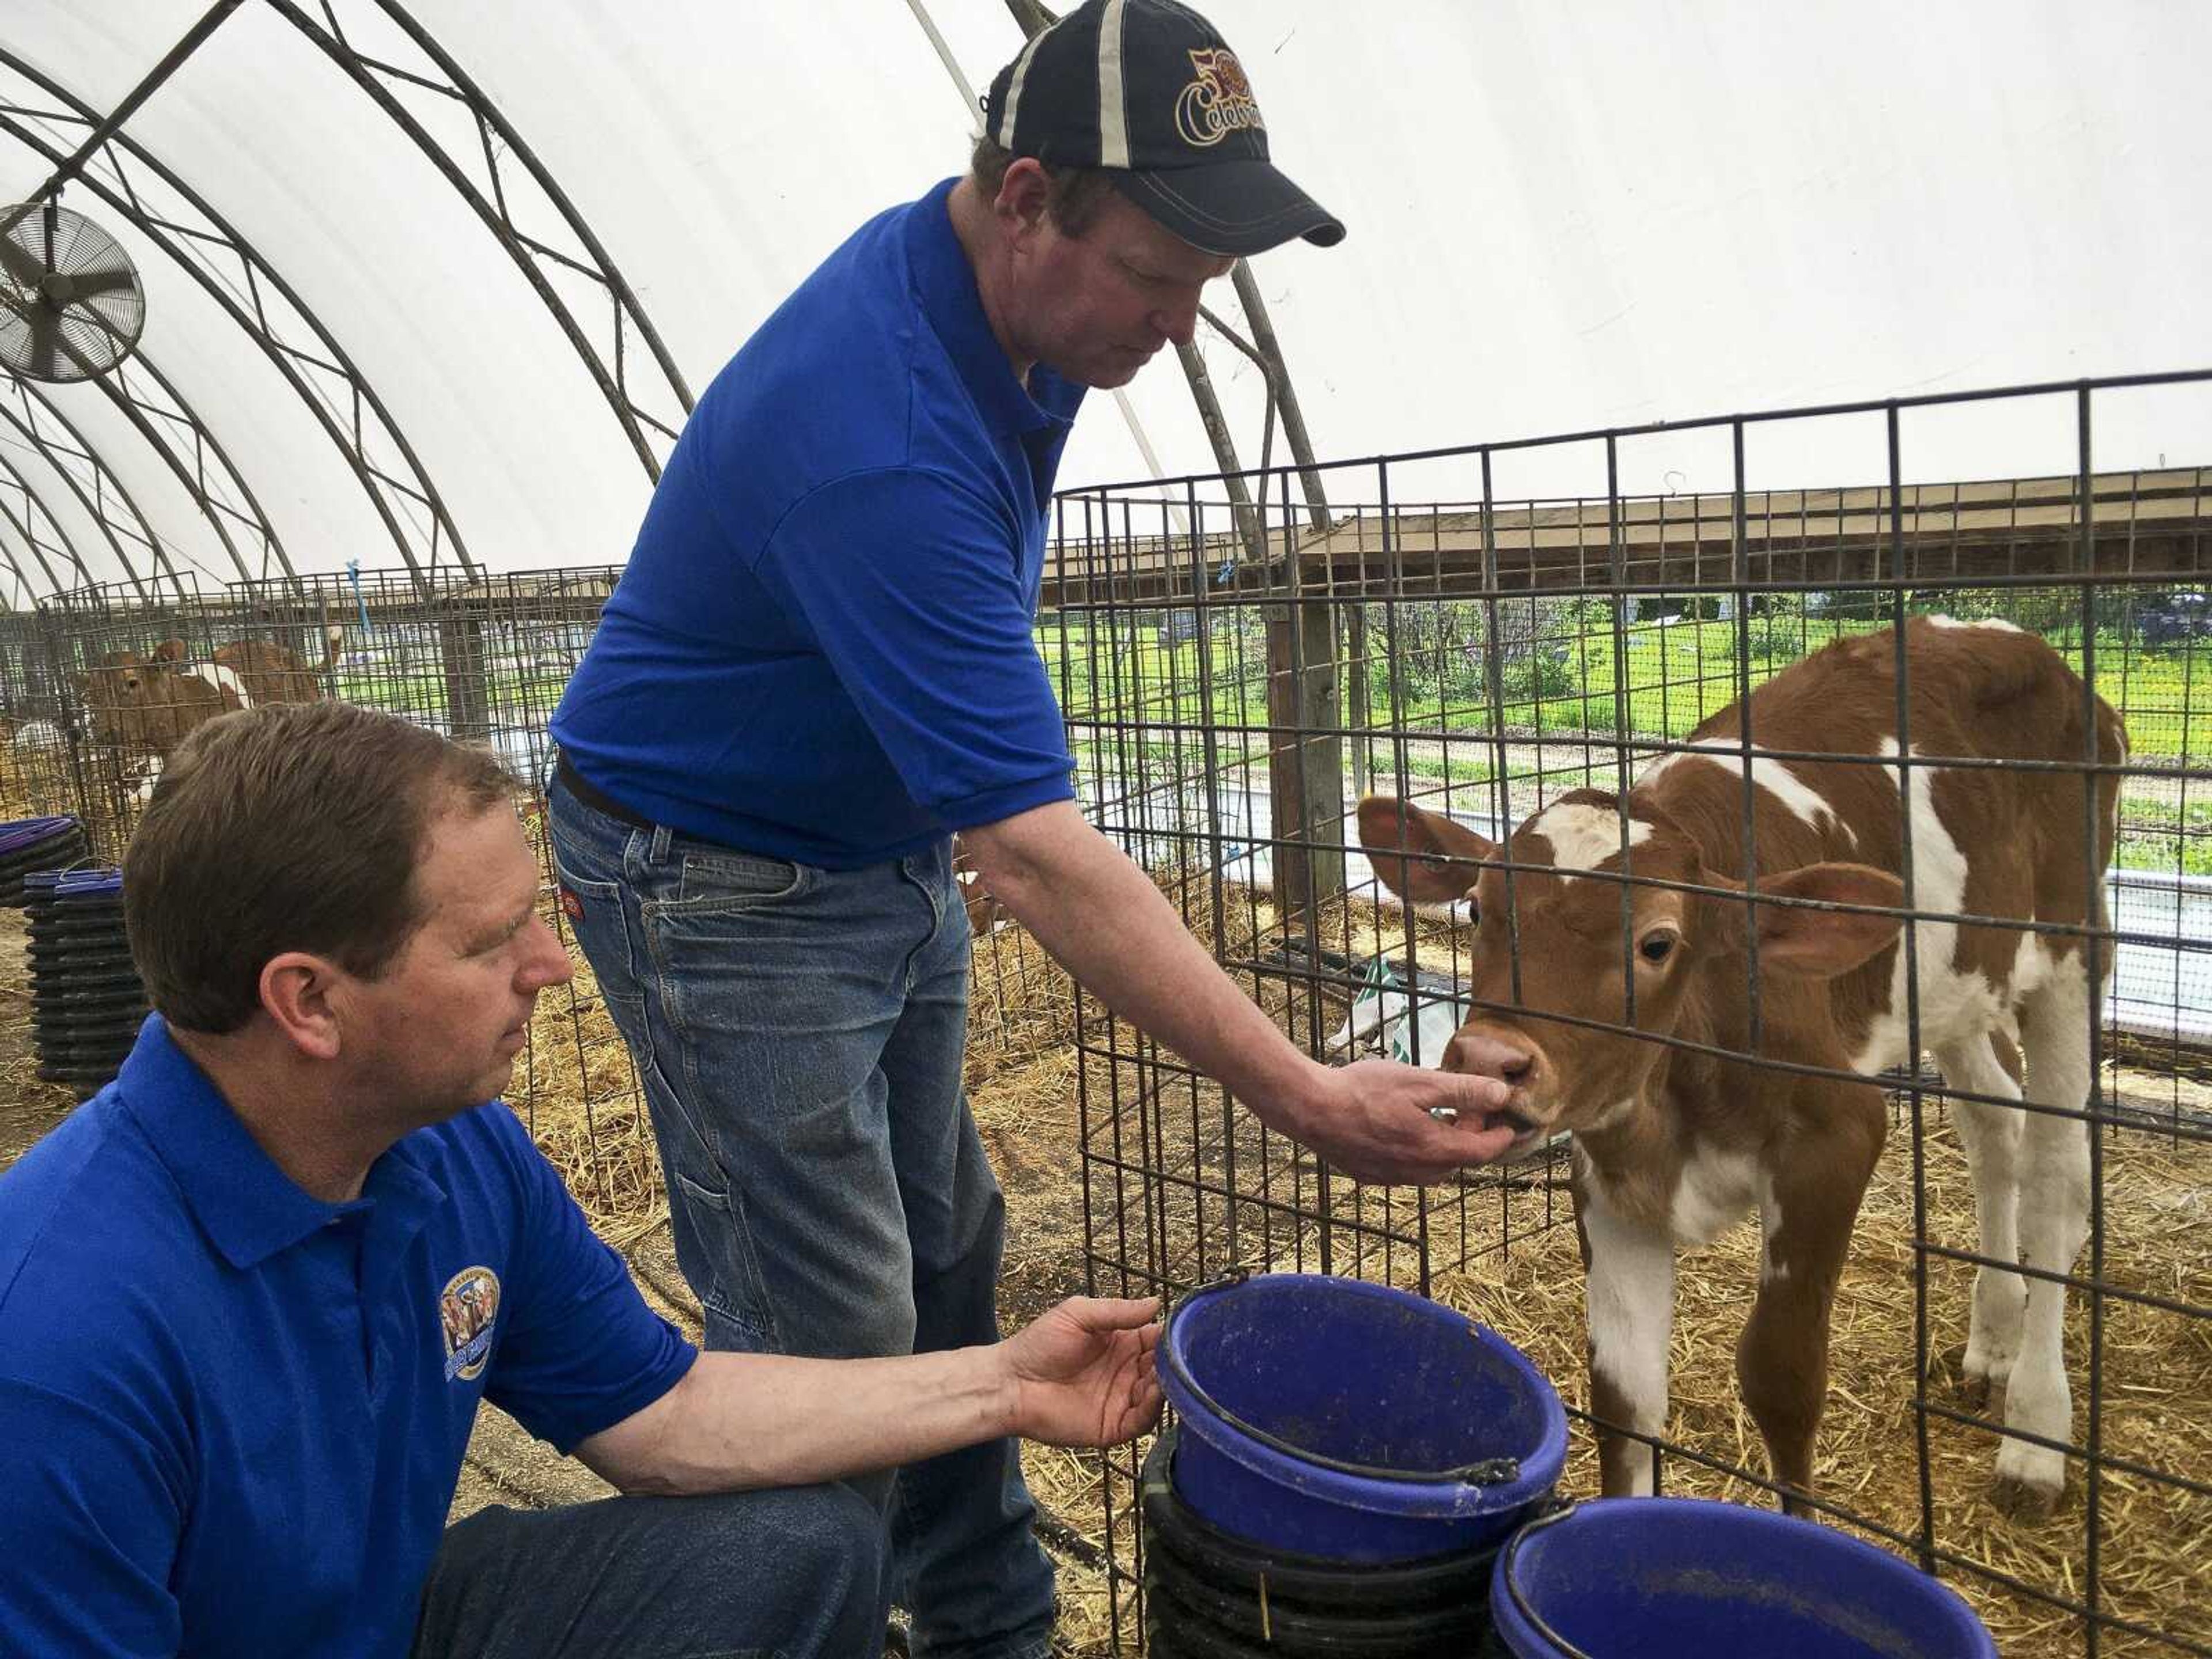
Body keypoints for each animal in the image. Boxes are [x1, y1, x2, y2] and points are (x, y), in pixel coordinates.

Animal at [1354, 619, 2115, 1521]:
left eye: (1658, 942)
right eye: (1477, 909)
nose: (1485, 1061)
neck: (1679, 1096)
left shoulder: (1836, 1135)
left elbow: (1781, 1379)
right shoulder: (1611, 1177)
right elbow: (1625, 1397)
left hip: (2073, 949)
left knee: (2055, 1180)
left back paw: (2035, 1436)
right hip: (1956, 983)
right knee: (1995, 1125)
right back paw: (1993, 1339)